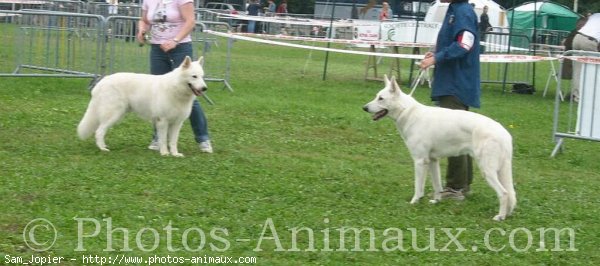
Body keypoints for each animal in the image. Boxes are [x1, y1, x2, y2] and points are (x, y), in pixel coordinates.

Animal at [77, 56, 206, 156]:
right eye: (194, 76)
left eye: (202, 76)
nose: (205, 88)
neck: (176, 88)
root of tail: (101, 82)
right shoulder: (163, 121)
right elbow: (163, 140)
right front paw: (164, 153)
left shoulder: (177, 123)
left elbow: (173, 141)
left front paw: (175, 154)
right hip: (113, 114)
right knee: (99, 131)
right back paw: (102, 148)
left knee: (101, 130)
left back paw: (104, 146)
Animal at [360, 75, 516, 220]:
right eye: (376, 96)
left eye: (381, 98)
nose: (364, 108)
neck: (407, 112)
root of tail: (504, 133)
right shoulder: (432, 161)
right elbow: (437, 186)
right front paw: (436, 201)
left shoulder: (420, 161)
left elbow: (418, 187)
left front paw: (414, 202)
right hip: (500, 170)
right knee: (510, 193)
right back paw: (507, 214)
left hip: (487, 170)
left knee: (504, 193)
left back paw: (500, 217)